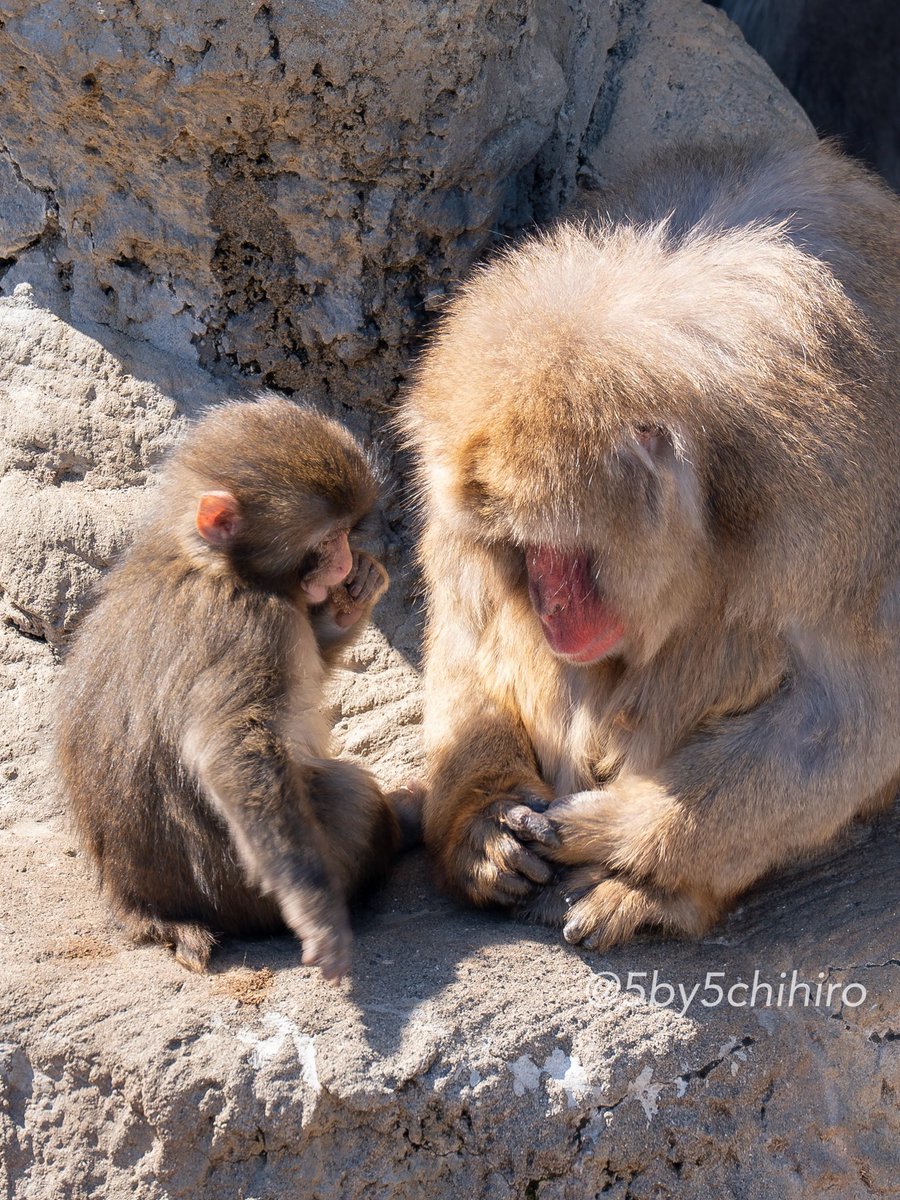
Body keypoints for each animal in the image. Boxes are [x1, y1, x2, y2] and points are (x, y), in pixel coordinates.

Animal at [57, 392, 409, 980]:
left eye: (345, 536)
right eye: (326, 539)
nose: (342, 562)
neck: (209, 563)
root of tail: (140, 903)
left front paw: (356, 596)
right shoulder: (252, 624)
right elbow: (231, 747)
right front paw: (315, 909)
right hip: (240, 892)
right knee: (352, 796)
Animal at [401, 136, 900, 952]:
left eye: (565, 550)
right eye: (520, 550)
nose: (550, 604)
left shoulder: (829, 496)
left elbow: (849, 709)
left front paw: (617, 834)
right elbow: (471, 627)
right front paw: (483, 827)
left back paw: (657, 891)